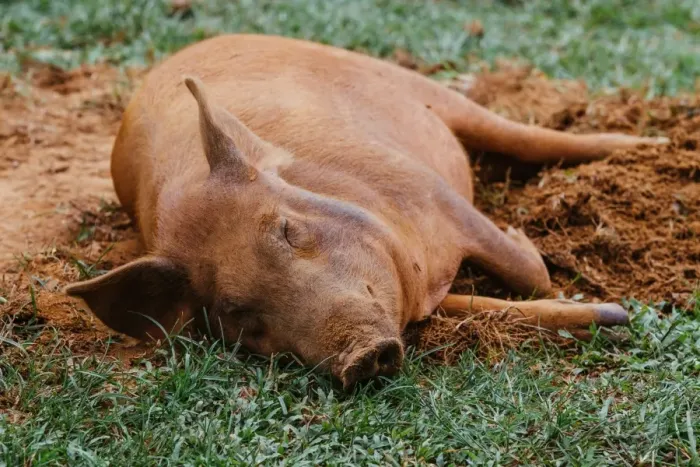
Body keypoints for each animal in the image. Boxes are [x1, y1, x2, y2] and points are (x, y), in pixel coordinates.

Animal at [65, 35, 665, 388]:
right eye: (236, 315)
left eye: (289, 231)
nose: (358, 354)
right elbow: (493, 304)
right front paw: (615, 318)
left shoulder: (430, 193)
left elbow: (528, 273)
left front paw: (529, 239)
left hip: (414, 87)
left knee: (524, 135)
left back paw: (654, 144)